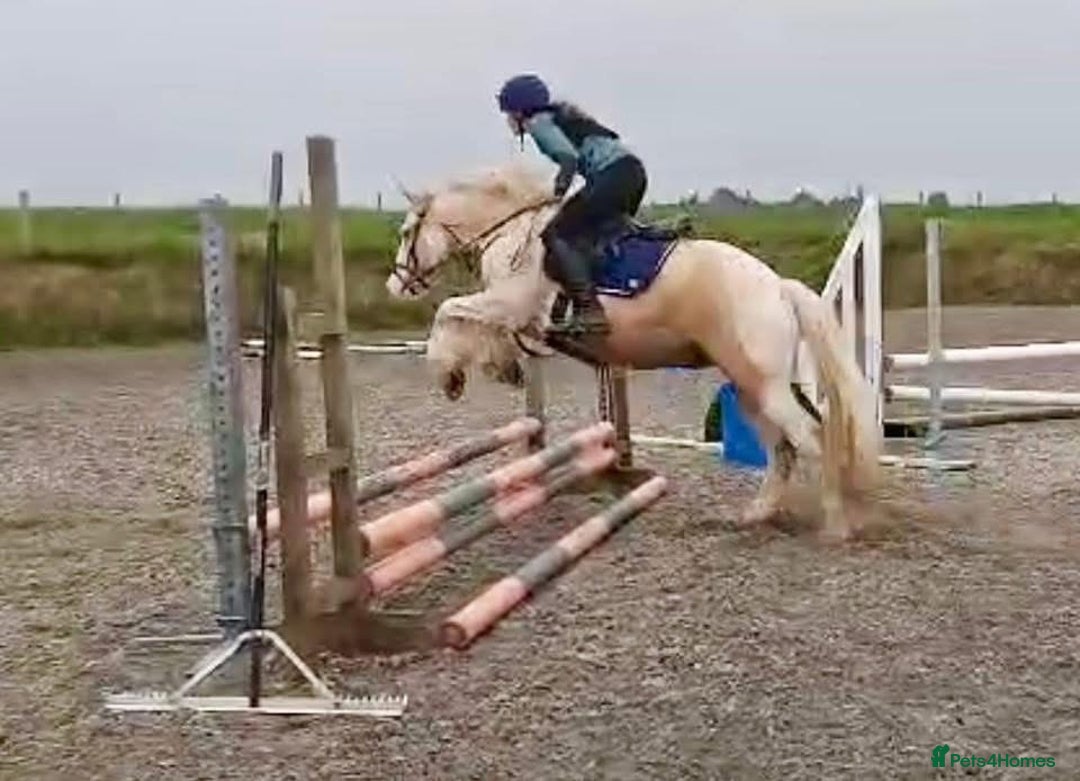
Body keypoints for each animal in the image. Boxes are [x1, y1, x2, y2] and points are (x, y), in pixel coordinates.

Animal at [384, 161, 882, 541]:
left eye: (407, 232)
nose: (396, 285)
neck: (513, 232)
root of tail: (776, 285)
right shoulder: (516, 316)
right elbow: (477, 330)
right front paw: (497, 368)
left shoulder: (511, 302)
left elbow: (449, 312)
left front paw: (448, 373)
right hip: (747, 387)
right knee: (784, 448)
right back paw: (757, 514)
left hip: (766, 384)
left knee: (813, 437)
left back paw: (837, 525)